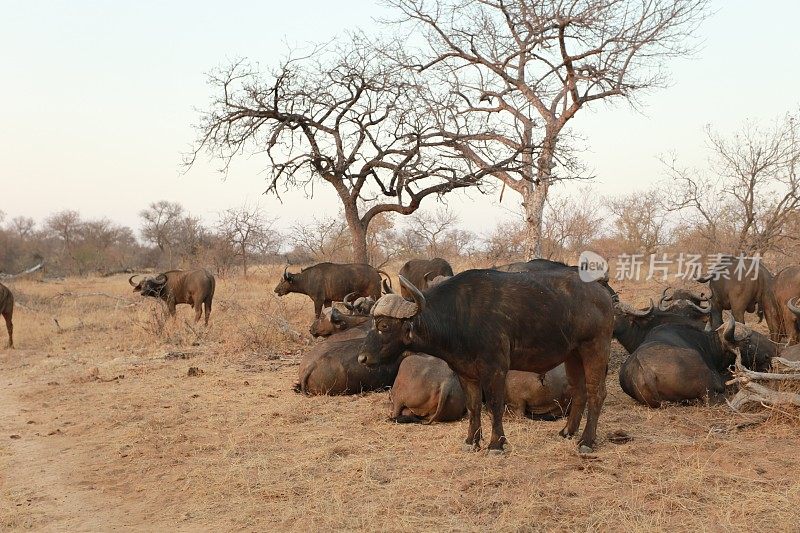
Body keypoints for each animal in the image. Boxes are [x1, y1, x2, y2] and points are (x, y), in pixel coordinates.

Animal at [360, 270, 616, 454]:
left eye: (384, 326)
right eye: (372, 322)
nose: (363, 358)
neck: (459, 315)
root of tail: (602, 293)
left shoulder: (495, 369)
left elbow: (494, 405)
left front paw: (496, 444)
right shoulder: (466, 372)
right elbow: (474, 406)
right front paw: (471, 441)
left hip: (595, 348)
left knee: (596, 393)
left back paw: (586, 441)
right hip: (573, 354)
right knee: (580, 391)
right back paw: (567, 432)